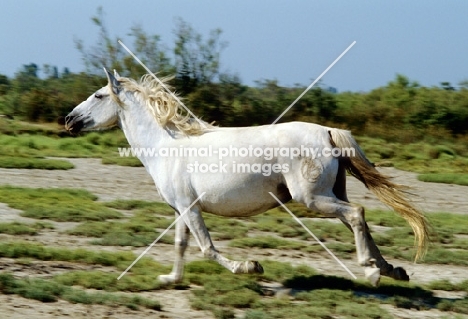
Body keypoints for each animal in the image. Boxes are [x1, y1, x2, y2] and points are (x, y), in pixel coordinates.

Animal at [64, 70, 430, 288]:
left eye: (98, 96)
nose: (68, 120)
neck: (166, 147)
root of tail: (327, 132)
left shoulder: (190, 208)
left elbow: (207, 249)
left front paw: (250, 267)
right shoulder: (181, 208)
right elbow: (182, 245)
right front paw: (171, 278)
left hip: (312, 199)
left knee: (357, 215)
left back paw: (371, 270)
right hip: (329, 195)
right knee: (358, 220)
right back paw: (391, 269)